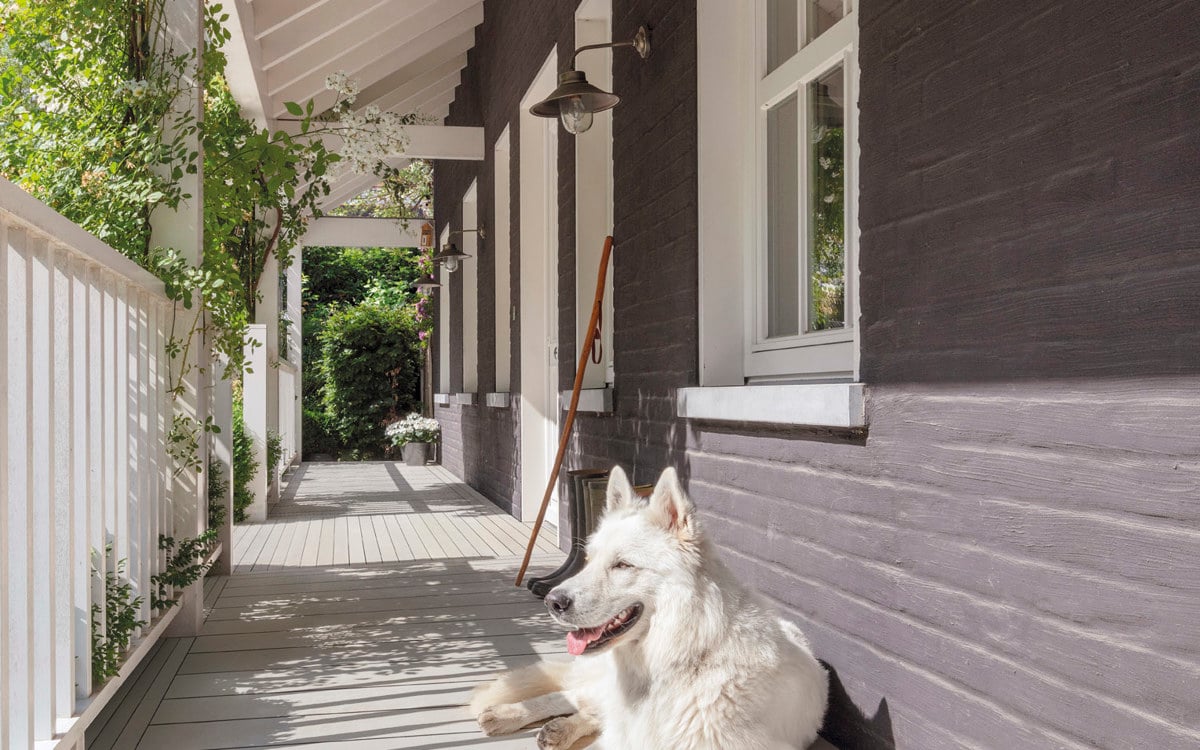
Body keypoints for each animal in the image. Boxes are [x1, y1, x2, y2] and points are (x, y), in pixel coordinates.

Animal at [468, 465, 825, 744]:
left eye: (623, 565)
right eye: (589, 560)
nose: (552, 602)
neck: (683, 656)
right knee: (571, 695)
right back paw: (508, 715)